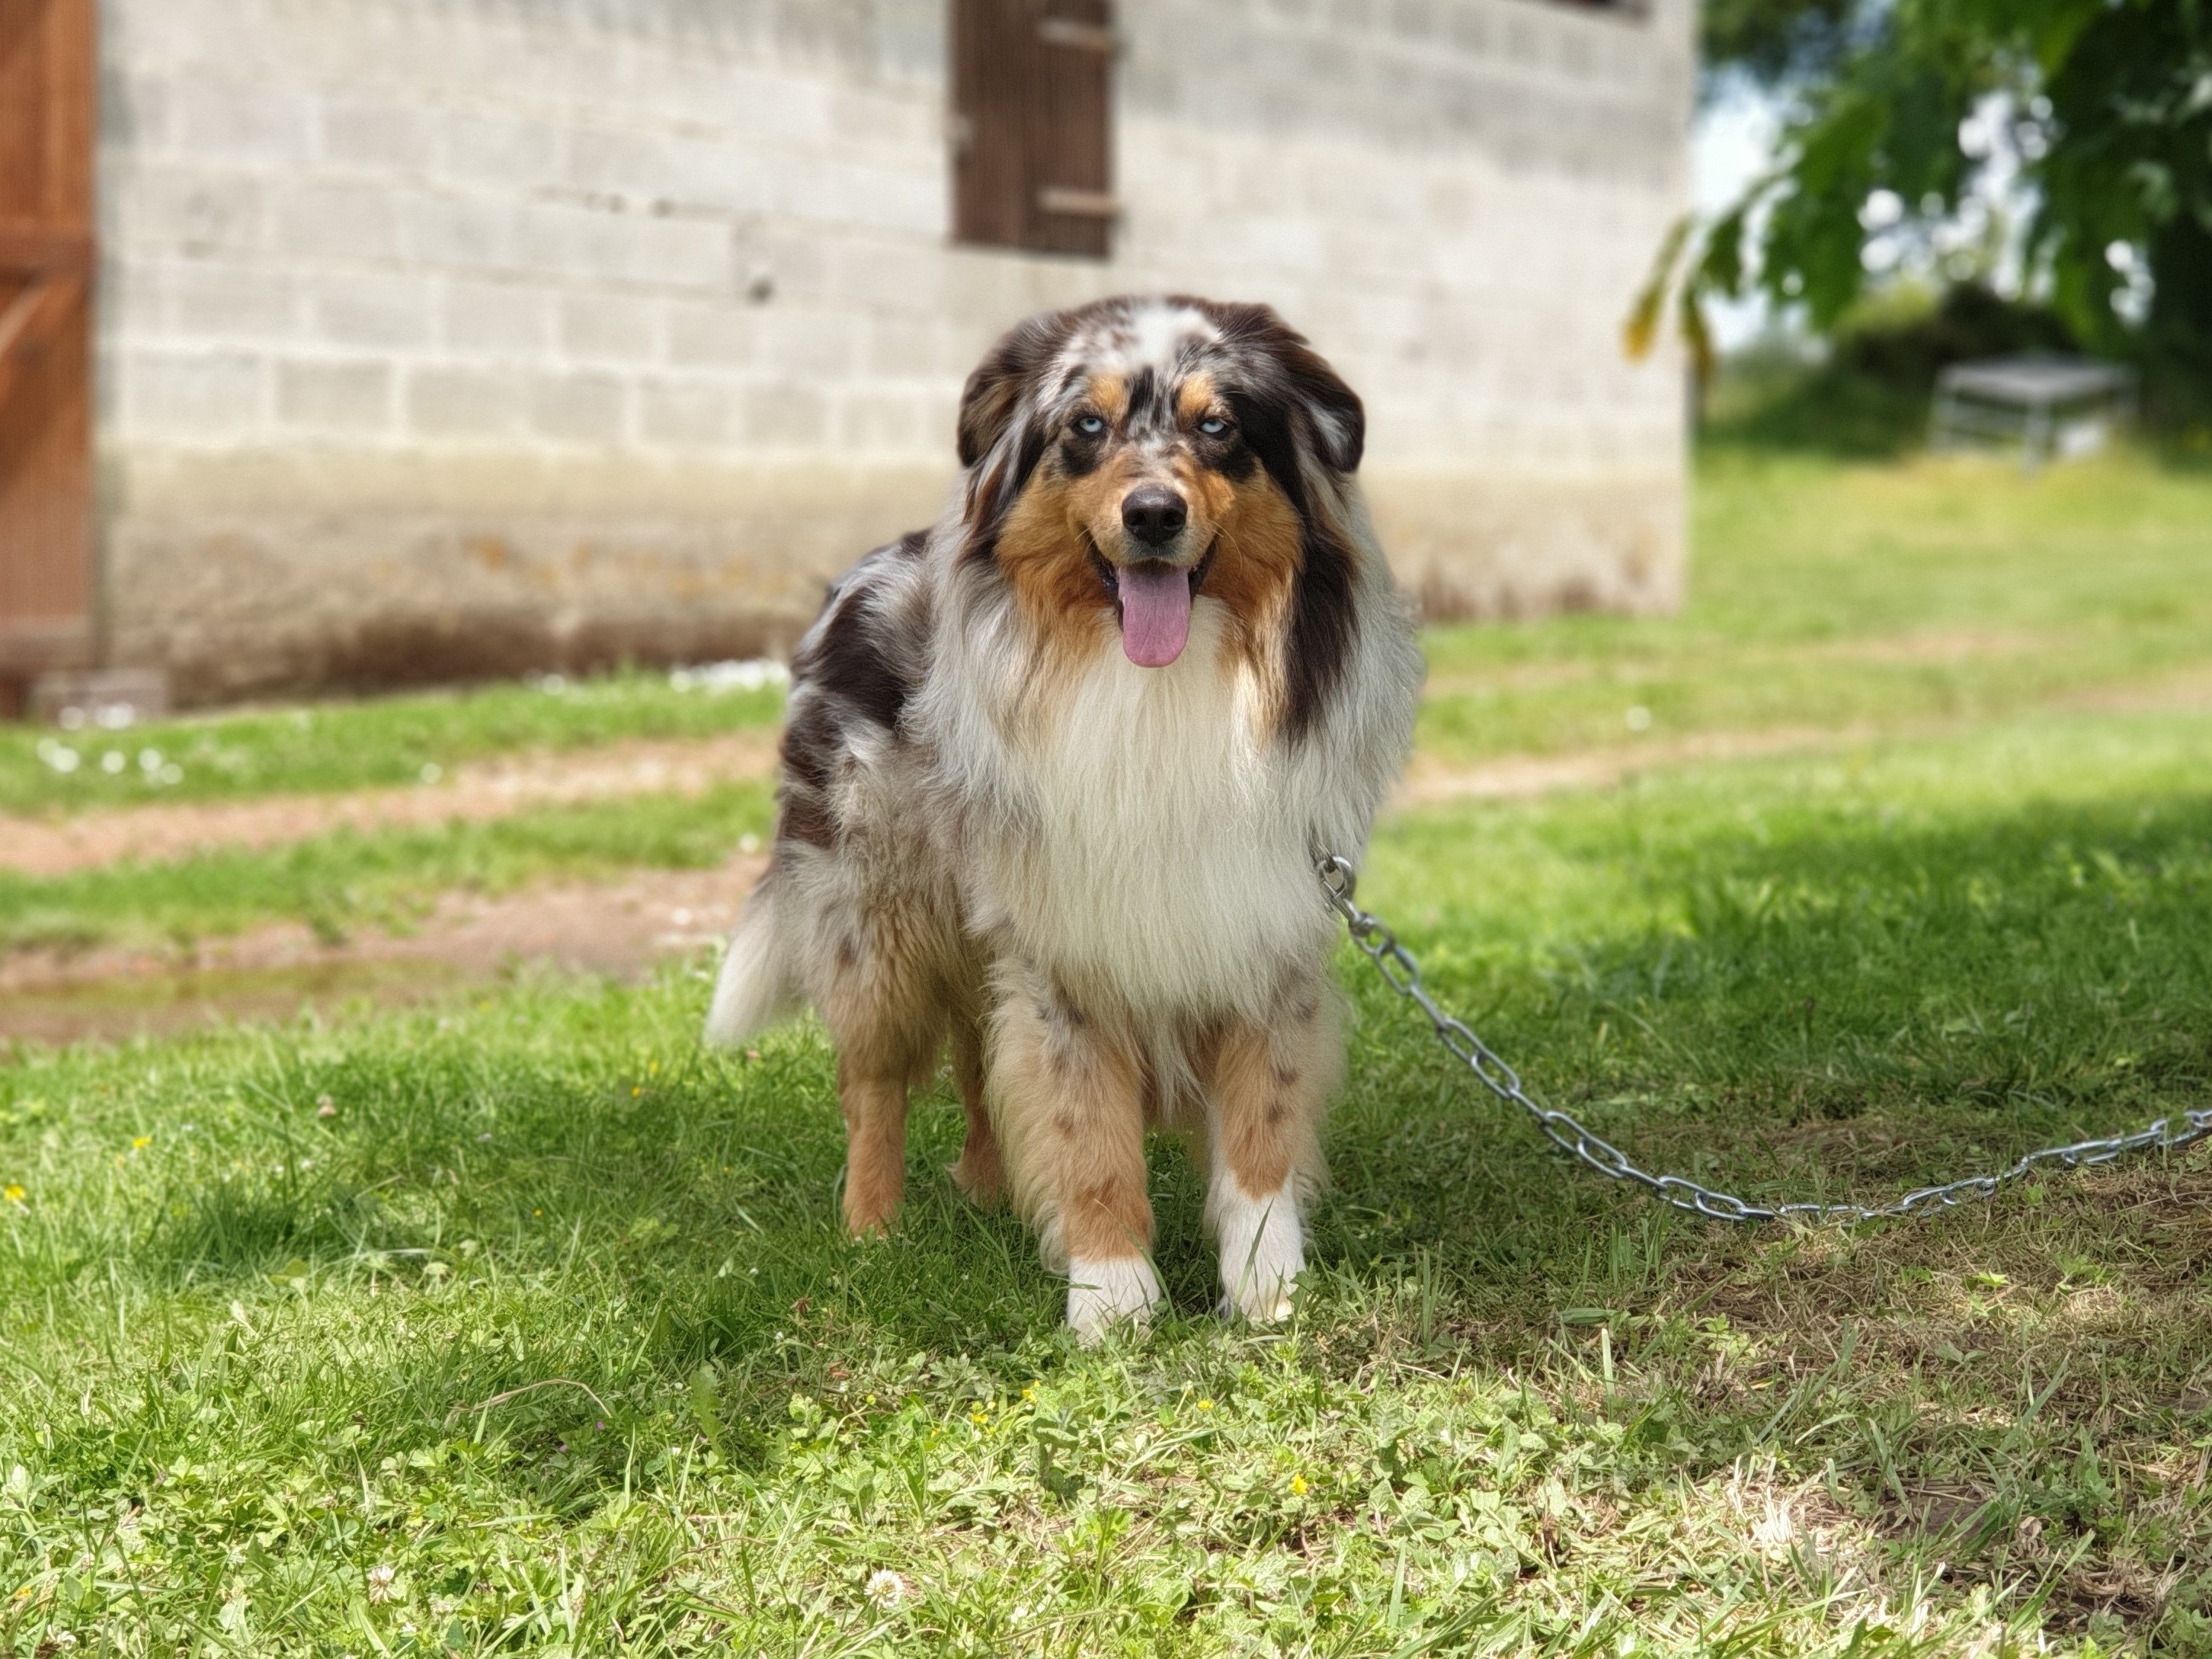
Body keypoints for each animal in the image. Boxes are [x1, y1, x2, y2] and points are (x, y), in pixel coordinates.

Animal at [716, 296, 1424, 1336]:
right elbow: (1083, 1126)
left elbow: (1261, 1126)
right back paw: (872, 1233)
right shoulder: (1063, 946)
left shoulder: (1265, 930)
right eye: (1084, 426)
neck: (1161, 686)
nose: (1153, 513)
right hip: (877, 917)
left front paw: (1266, 1287)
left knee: (977, 1059)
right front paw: (1111, 1295)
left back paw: (987, 1188)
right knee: (875, 1081)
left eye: (1219, 427)